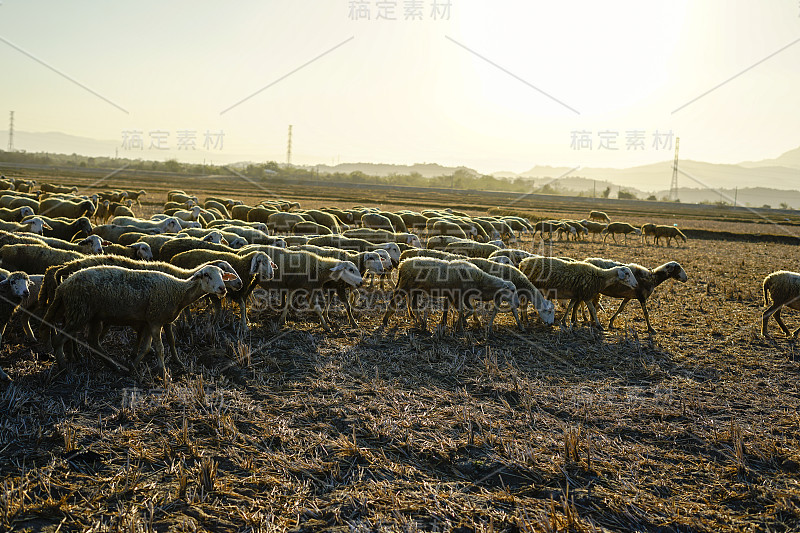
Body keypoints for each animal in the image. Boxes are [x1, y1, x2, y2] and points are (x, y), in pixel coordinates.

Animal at [45, 262, 239, 372]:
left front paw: (133, 367)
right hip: (80, 312)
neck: (177, 291)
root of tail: (62, 286)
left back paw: (114, 366)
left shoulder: (150, 322)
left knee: (92, 341)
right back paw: (64, 368)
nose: (222, 289)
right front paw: (163, 373)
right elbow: (159, 348)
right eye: (206, 275)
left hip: (91, 315)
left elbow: (147, 347)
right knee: (59, 340)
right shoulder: (155, 320)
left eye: (223, 276)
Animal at [380, 258, 520, 332]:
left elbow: (469, 309)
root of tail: (403, 263)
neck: (480, 280)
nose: (518, 304)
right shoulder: (457, 295)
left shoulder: (463, 295)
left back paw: (420, 322)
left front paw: (463, 323)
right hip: (405, 286)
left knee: (413, 305)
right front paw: (460, 326)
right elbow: (462, 310)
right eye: (513, 290)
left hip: (415, 289)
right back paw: (385, 320)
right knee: (394, 300)